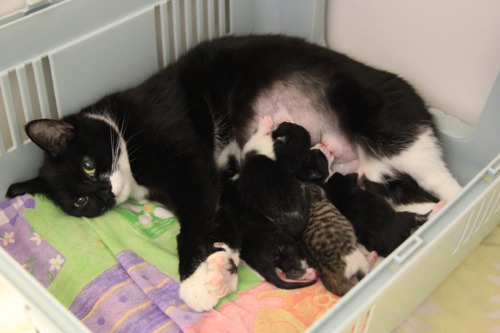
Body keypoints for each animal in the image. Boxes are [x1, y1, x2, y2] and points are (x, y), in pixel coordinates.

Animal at [6, 35, 460, 310]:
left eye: (87, 164)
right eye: (82, 201)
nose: (105, 195)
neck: (122, 129)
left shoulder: (188, 164)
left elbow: (192, 226)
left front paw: (195, 283)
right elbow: (213, 219)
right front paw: (220, 266)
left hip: (389, 126)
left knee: (444, 181)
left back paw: (451, 207)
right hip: (374, 172)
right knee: (400, 193)